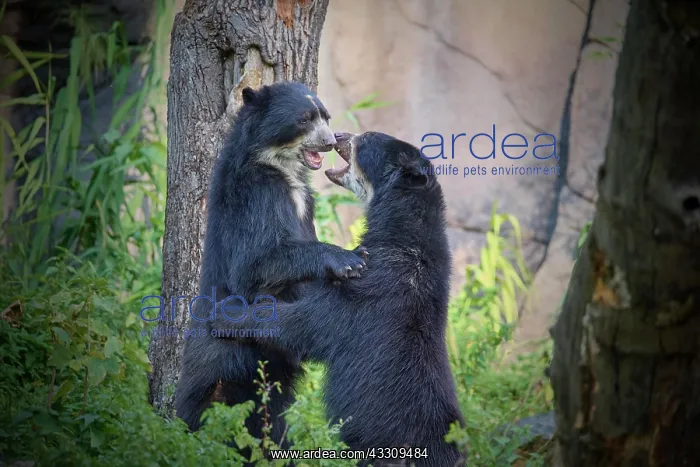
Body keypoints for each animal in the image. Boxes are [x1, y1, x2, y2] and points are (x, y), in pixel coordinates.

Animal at [174, 82, 369, 460]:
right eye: (304, 119)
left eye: (326, 116)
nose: (330, 140)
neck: (279, 166)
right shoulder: (255, 196)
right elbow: (255, 264)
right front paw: (348, 259)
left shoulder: (305, 203)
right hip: (222, 366)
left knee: (271, 425)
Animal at [210, 131, 466, 466]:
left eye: (366, 139)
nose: (340, 136)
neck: (404, 232)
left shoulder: (370, 293)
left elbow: (307, 322)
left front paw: (223, 317)